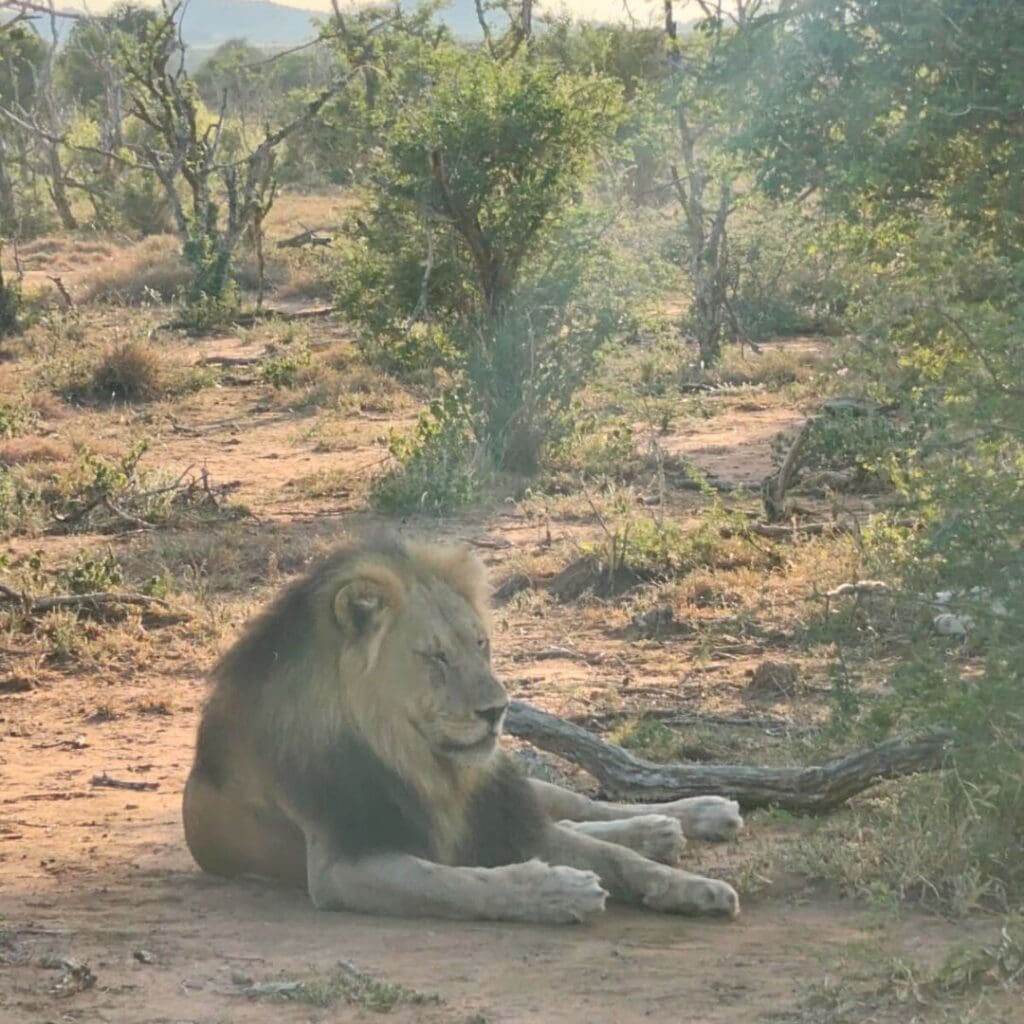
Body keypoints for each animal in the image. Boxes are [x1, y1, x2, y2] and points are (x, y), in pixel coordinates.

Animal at [182, 540, 745, 925]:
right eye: (437, 657)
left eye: (481, 644)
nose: (498, 710)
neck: (421, 764)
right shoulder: (342, 866)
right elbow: (456, 883)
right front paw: (557, 891)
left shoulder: (507, 818)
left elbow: (614, 857)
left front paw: (696, 889)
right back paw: (660, 831)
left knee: (576, 806)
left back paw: (692, 815)